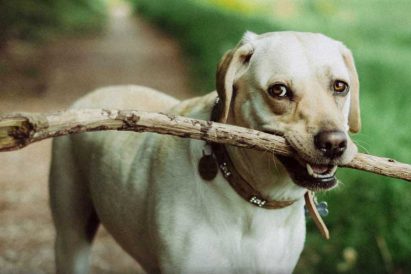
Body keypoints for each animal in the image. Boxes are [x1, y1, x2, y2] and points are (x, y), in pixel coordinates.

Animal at [49, 31, 360, 272]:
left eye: (340, 86)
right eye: (279, 90)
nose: (334, 143)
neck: (255, 200)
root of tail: (89, 96)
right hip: (71, 235)